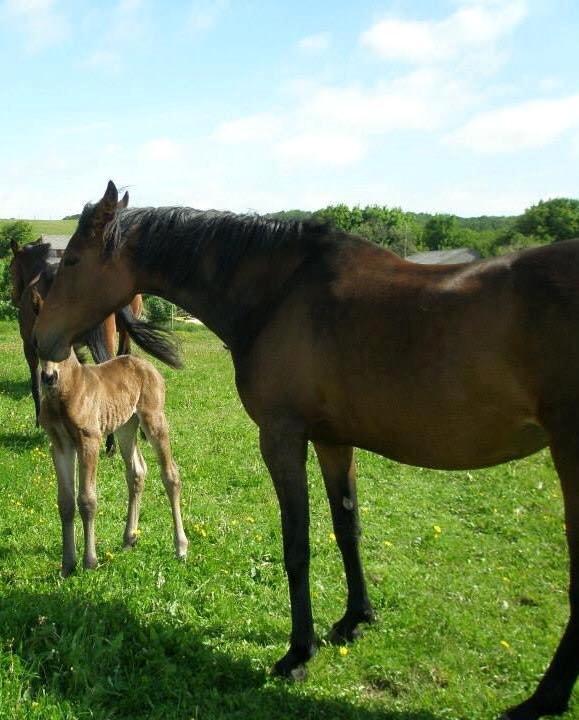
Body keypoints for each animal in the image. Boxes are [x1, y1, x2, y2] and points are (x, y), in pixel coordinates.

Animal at [31, 290, 188, 576]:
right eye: (36, 341)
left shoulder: (89, 440)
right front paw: (67, 564)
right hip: (126, 427)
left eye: (65, 341)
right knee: (137, 471)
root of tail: (144, 364)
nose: (48, 377)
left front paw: (89, 561)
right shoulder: (60, 444)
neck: (65, 393)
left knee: (170, 475)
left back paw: (180, 547)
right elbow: (65, 502)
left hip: (154, 420)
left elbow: (87, 499)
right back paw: (129, 539)